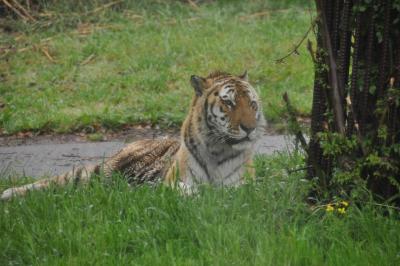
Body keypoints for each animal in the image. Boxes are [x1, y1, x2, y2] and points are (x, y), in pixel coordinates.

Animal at [0, 70, 266, 200]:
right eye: (229, 103)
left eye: (252, 104)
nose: (250, 128)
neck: (217, 149)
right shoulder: (171, 182)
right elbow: (184, 189)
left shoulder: (242, 186)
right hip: (101, 171)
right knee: (60, 180)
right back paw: (9, 194)